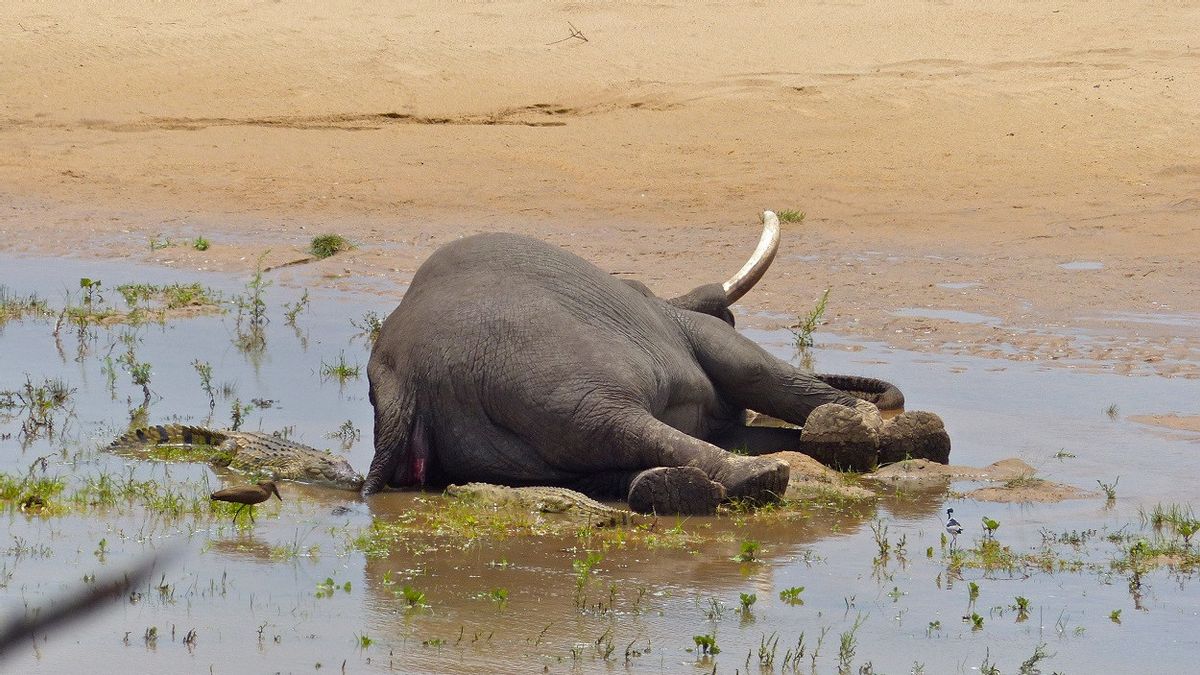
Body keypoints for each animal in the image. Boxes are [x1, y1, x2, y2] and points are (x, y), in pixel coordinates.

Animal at [364, 210, 945, 509]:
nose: (884, 398)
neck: (661, 295)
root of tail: (406, 385)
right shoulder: (695, 332)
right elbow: (756, 370)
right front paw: (866, 429)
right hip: (549, 372)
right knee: (612, 422)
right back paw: (759, 480)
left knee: (598, 455)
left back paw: (670, 489)